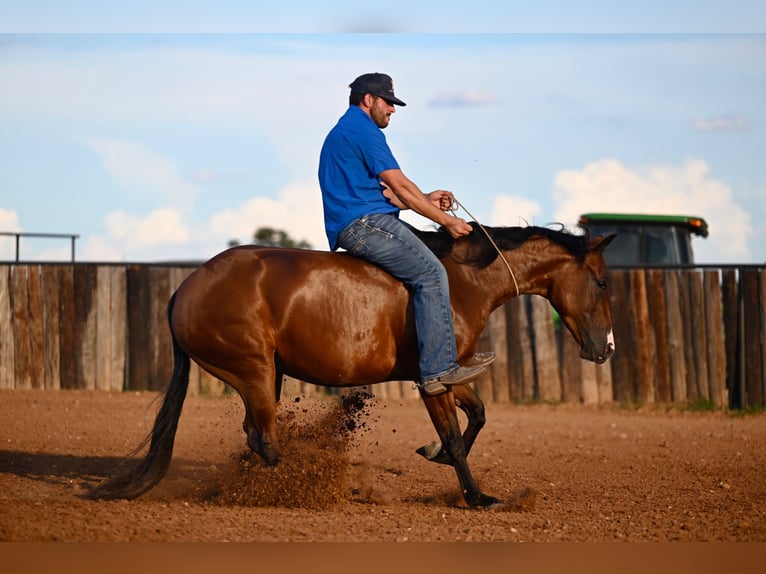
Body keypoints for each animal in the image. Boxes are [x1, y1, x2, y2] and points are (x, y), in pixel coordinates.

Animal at [90, 223, 616, 510]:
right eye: (602, 282)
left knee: (254, 436)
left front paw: (435, 456)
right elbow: (454, 436)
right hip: (254, 370)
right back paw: (309, 484)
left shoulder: (451, 372)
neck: (463, 281)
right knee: (265, 440)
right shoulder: (431, 381)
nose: (607, 348)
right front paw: (478, 496)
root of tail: (186, 287)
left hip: (266, 374)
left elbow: (478, 416)